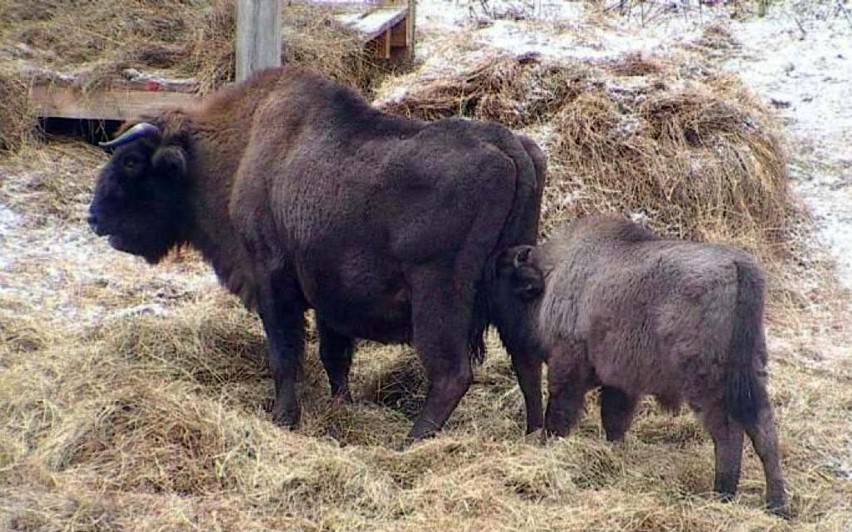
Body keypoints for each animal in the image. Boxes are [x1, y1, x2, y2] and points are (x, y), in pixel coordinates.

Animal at [88, 65, 544, 440]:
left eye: (131, 162)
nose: (95, 217)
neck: (237, 153)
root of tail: (510, 148)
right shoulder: (330, 296)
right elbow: (333, 357)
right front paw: (340, 405)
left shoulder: (272, 282)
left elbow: (285, 355)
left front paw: (283, 418)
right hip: (509, 287)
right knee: (525, 359)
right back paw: (536, 433)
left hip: (438, 298)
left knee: (451, 373)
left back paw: (411, 440)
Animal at [490, 215, 788, 516]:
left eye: (504, 280)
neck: (552, 274)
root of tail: (738, 266)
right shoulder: (620, 383)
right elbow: (614, 420)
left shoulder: (569, 364)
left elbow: (561, 412)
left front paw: (548, 444)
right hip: (752, 372)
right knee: (764, 431)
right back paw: (777, 505)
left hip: (707, 384)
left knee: (728, 433)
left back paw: (722, 494)